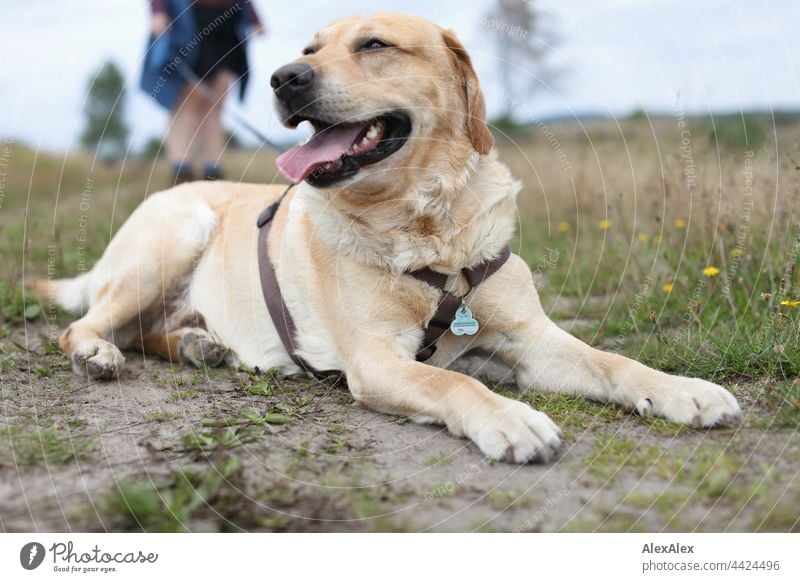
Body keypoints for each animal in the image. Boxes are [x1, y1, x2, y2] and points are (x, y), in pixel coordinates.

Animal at [34, 13, 740, 466]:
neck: (429, 228)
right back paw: (100, 353)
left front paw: (685, 390)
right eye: (309, 49)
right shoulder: (376, 360)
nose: (284, 78)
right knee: (87, 326)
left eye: (374, 45)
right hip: (177, 233)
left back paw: (198, 344)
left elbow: (613, 361)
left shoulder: (530, 341)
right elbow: (456, 385)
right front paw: (509, 419)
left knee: (149, 330)